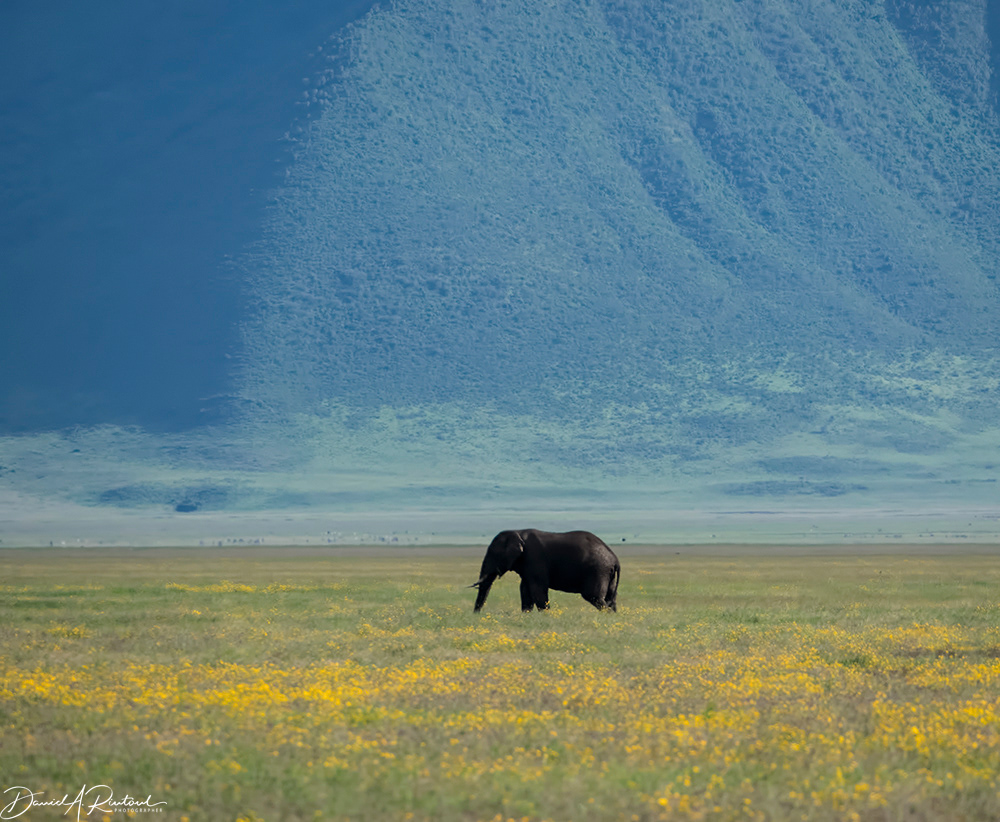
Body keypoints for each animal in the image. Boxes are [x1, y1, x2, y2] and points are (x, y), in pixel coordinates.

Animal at [470, 529, 620, 612]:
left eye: (493, 554)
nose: (476, 615)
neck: (517, 532)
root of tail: (614, 558)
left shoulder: (534, 558)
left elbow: (537, 590)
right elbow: (525, 590)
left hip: (598, 570)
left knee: (593, 597)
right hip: (607, 573)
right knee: (610, 599)